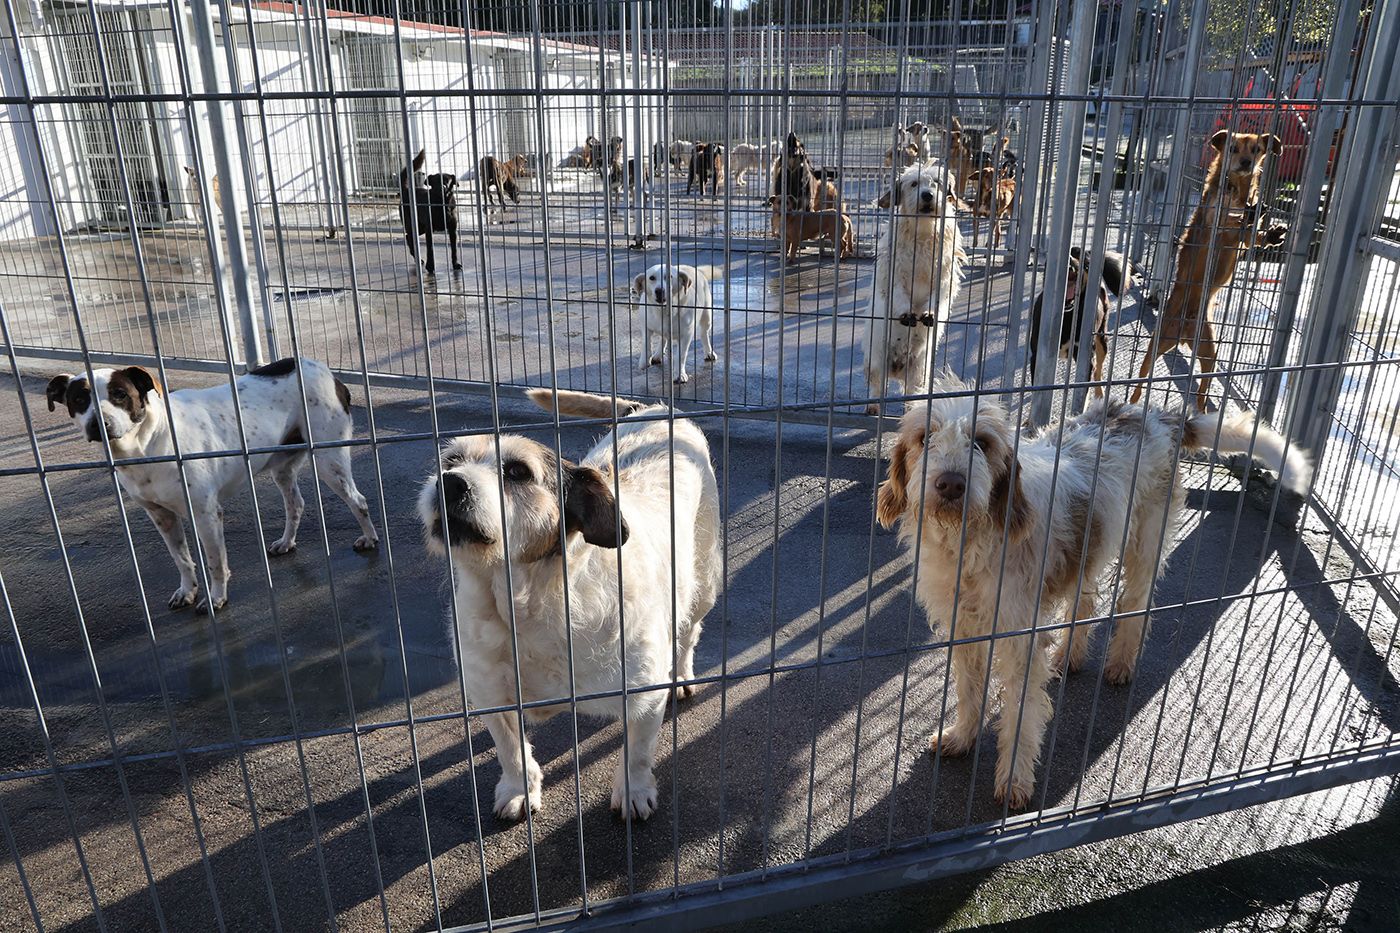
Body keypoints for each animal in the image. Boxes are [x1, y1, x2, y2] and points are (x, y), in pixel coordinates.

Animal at [417, 389, 722, 818]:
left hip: (704, 583)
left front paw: (633, 790)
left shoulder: (644, 695)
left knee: (691, 631)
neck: (531, 606)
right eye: (450, 460)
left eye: (517, 472)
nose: (449, 483)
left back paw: (681, 673)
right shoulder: (491, 695)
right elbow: (511, 750)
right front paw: (519, 788)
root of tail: (656, 409)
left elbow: (637, 752)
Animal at [856, 162, 968, 414]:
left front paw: (929, 314)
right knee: (877, 387)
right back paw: (873, 407)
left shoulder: (944, 279)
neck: (924, 231)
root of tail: (897, 368)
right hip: (876, 361)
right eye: (914, 184)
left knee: (911, 393)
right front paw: (907, 313)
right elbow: (899, 295)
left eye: (937, 183)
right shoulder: (894, 274)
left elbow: (937, 299)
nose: (927, 195)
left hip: (919, 372)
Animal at [873, 375, 1310, 801]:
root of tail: (1157, 415)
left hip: (1146, 541)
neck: (969, 542)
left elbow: (1021, 714)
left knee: (1136, 601)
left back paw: (1121, 662)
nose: (950, 484)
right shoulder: (963, 626)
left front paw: (1014, 779)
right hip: (1090, 548)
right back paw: (1070, 655)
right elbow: (969, 687)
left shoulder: (1019, 639)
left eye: (981, 442)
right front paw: (962, 736)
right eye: (924, 438)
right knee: (1084, 604)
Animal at [1030, 243, 1136, 392]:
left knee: (1099, 369)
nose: (1069, 260)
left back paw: (1099, 393)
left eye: (1085, 261)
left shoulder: (1086, 358)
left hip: (1102, 338)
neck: (1067, 315)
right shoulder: (1037, 357)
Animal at [1131, 128, 1282, 409]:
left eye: (1256, 149)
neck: (1239, 190)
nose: (1246, 163)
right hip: (1155, 348)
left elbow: (1253, 235)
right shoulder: (1215, 219)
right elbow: (1227, 218)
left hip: (1209, 353)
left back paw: (1202, 409)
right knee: (1139, 383)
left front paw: (1270, 231)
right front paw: (1249, 214)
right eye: (1233, 148)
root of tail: (1184, 332)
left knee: (1202, 391)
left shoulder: (1244, 239)